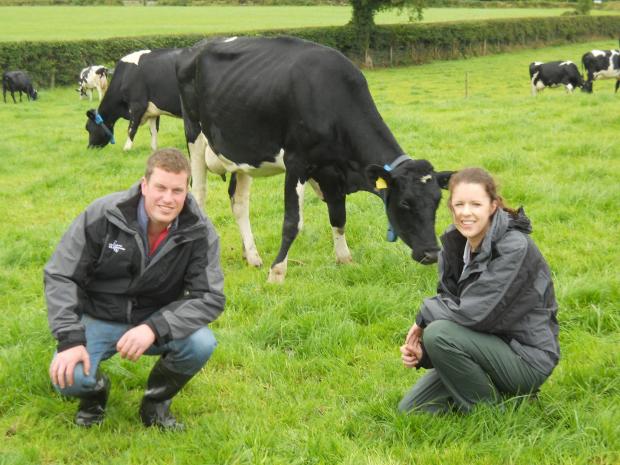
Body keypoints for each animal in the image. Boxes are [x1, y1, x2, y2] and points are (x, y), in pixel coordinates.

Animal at [177, 35, 452, 282]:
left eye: (438, 201)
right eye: (405, 203)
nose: (432, 253)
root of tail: (198, 46)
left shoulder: (331, 171)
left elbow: (339, 216)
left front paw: (344, 259)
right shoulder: (296, 162)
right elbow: (292, 223)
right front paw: (277, 272)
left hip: (241, 154)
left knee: (239, 203)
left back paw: (252, 256)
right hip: (194, 136)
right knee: (199, 194)